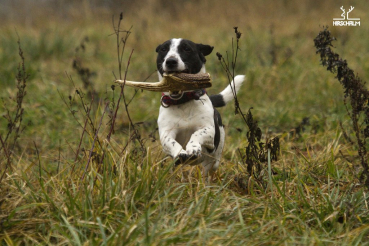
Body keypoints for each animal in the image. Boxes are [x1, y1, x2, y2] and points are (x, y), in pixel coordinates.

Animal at [155, 38, 243, 177]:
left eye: (187, 49)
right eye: (164, 49)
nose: (171, 61)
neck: (183, 102)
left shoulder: (209, 132)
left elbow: (197, 133)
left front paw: (193, 147)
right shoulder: (166, 133)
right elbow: (170, 141)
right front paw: (180, 152)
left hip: (213, 162)